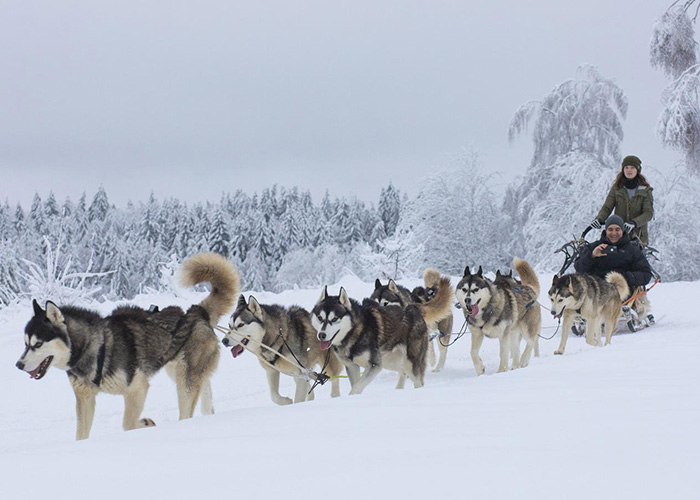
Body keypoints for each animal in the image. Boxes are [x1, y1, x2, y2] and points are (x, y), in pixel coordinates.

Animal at [15, 252, 239, 440]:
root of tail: (198, 311)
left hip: (185, 382)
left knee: (186, 412)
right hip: (183, 373)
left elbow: (128, 423)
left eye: (37, 344)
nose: (18, 365)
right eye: (25, 344)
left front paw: (146, 423)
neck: (95, 347)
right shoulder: (85, 398)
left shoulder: (137, 388)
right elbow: (81, 434)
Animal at [312, 274, 454, 394]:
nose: (321, 335)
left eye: (335, 319)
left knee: (417, 379)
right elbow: (356, 385)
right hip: (389, 361)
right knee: (402, 371)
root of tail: (412, 306)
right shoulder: (352, 366)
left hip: (410, 361)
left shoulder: (374, 365)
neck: (355, 332)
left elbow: (357, 387)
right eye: (320, 318)